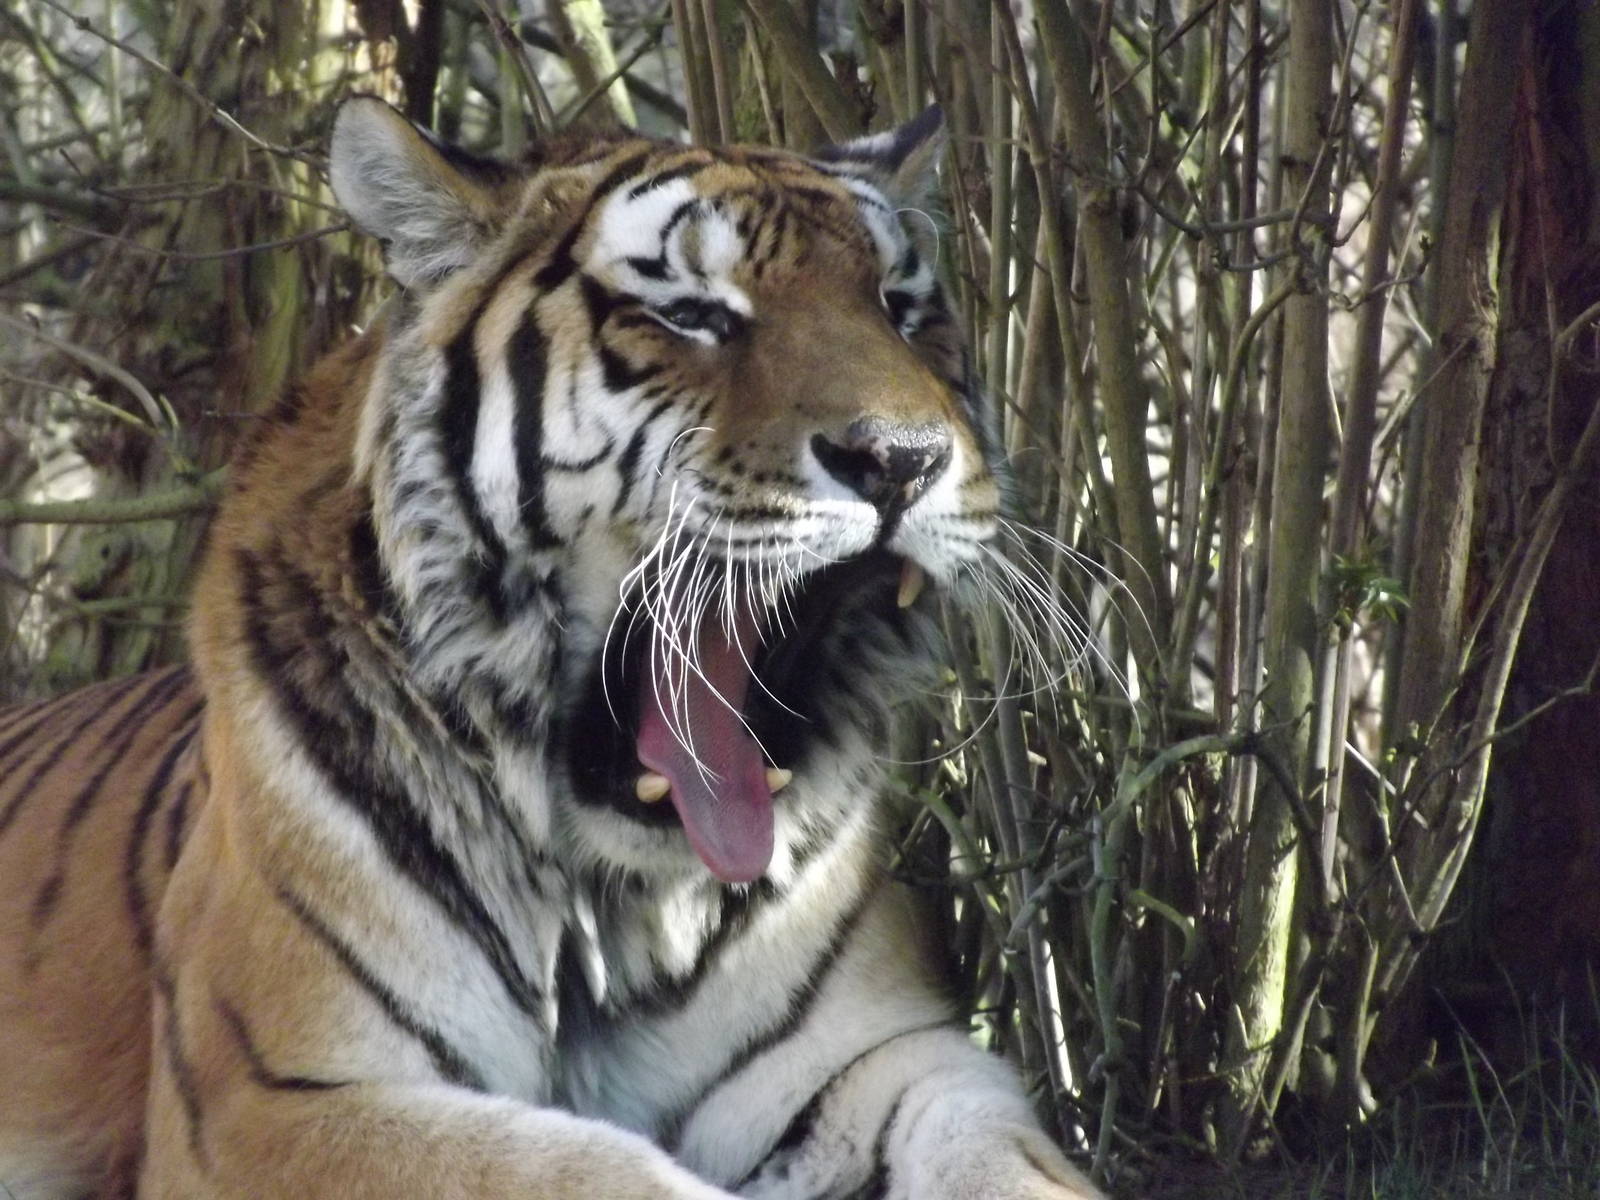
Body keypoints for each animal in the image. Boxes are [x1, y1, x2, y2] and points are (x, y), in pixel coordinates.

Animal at [0, 97, 1103, 1200]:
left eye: (900, 307)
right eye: (690, 313)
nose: (902, 460)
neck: (621, 914)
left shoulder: (884, 1055)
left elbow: (1007, 1157)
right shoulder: (275, 1102)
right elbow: (595, 1166)